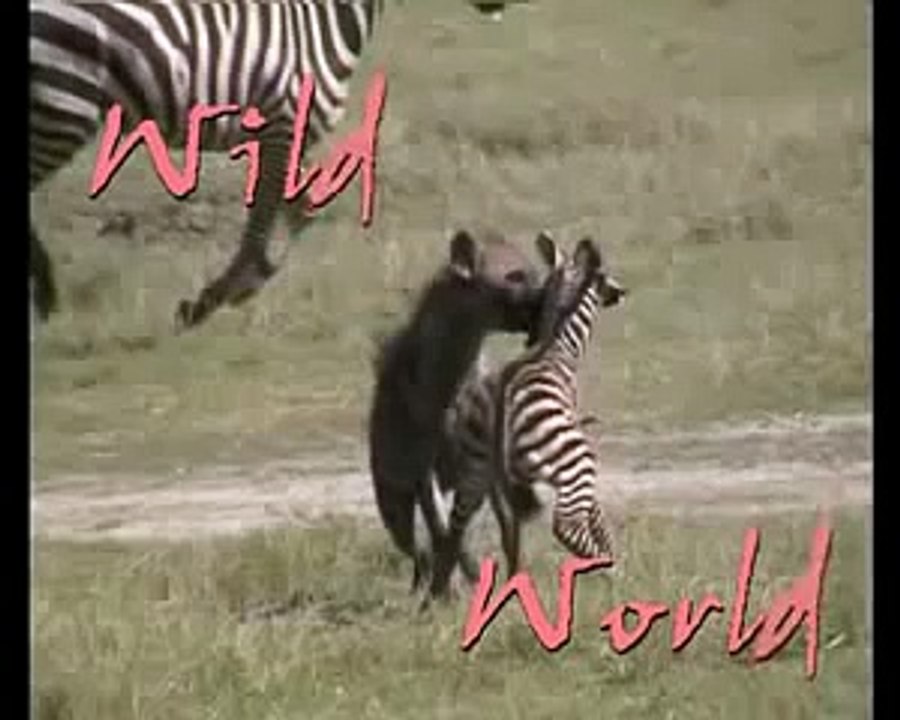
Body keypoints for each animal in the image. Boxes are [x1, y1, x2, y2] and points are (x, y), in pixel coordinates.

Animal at [29, 0, 518, 329]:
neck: (330, 19)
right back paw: (46, 297)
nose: (500, 5)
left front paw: (232, 289)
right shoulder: (283, 125)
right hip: (66, 104)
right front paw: (216, 297)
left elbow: (300, 212)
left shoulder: (286, 133)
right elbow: (268, 220)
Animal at [427, 232, 626, 601]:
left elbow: (511, 535)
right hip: (575, 461)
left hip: (475, 471)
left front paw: (515, 583)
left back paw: (439, 595)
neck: (559, 347)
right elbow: (597, 518)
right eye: (604, 276)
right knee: (565, 526)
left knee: (454, 530)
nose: (623, 291)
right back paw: (610, 573)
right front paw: (613, 562)